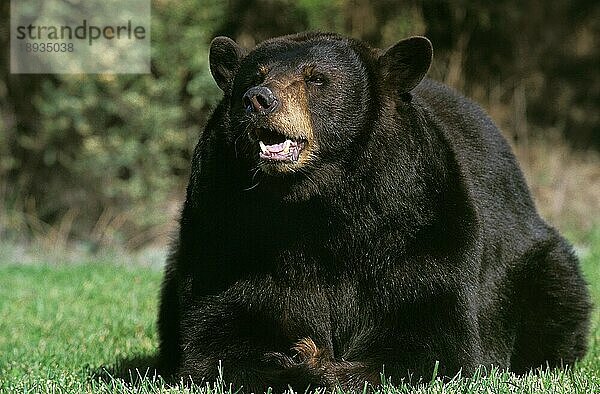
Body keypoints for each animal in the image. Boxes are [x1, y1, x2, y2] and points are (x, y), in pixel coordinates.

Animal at [157, 32, 592, 392]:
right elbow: (221, 335)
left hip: (536, 263)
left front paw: (328, 367)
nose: (258, 100)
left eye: (316, 79)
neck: (315, 205)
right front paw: (295, 363)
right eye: (254, 77)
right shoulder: (226, 230)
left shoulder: (418, 225)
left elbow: (431, 339)